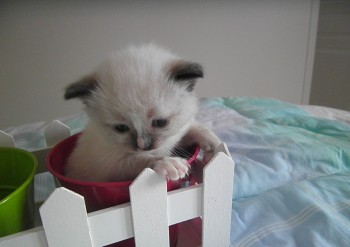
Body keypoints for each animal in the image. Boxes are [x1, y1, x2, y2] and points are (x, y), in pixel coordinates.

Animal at [64, 44, 220, 182]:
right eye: (121, 128)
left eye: (160, 122)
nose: (143, 146)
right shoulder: (111, 167)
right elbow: (140, 160)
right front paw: (167, 162)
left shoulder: (172, 139)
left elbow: (197, 129)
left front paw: (215, 148)